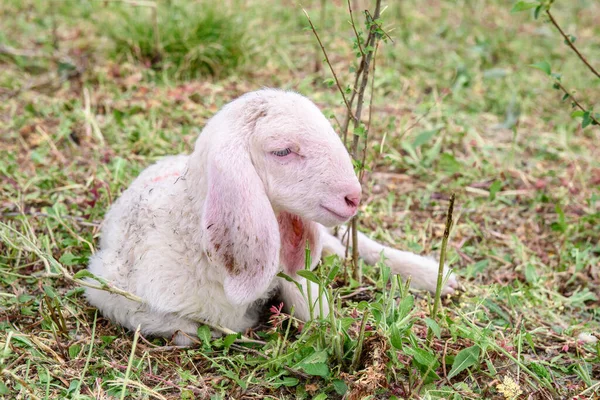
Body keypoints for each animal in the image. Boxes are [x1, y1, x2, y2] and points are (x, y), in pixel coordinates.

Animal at [84, 89, 458, 346]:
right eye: (282, 151)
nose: (354, 197)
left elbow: (312, 302)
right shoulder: (107, 288)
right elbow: (181, 329)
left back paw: (433, 274)